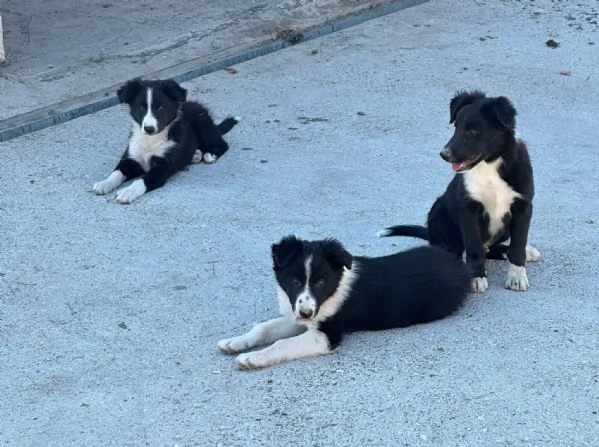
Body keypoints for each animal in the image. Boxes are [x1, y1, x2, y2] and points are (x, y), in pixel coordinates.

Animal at [92, 79, 238, 205]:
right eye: (141, 108)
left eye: (160, 108)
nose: (149, 128)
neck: (150, 140)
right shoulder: (131, 158)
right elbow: (117, 172)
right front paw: (104, 183)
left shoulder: (162, 167)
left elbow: (141, 180)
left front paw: (128, 191)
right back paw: (196, 155)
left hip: (202, 124)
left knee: (222, 144)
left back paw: (210, 154)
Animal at [218, 236, 472, 370]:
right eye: (294, 281)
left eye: (320, 282)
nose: (307, 313)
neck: (333, 288)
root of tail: (454, 258)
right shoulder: (298, 315)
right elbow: (263, 328)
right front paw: (235, 342)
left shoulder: (326, 334)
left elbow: (282, 344)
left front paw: (253, 357)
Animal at [382, 91, 540, 294]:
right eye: (455, 127)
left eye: (472, 132)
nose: (444, 154)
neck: (489, 167)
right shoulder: (468, 208)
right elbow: (474, 247)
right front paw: (476, 277)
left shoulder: (523, 207)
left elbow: (518, 245)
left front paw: (517, 277)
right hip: (438, 211)